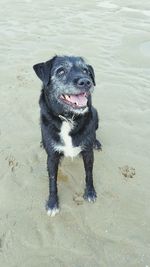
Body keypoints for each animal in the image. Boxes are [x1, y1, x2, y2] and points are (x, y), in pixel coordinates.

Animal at [32, 55, 101, 217]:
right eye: (61, 71)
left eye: (86, 70)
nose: (86, 82)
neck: (68, 118)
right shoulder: (51, 157)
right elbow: (52, 181)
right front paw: (52, 203)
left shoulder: (88, 153)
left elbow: (89, 173)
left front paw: (90, 192)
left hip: (96, 114)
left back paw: (97, 142)